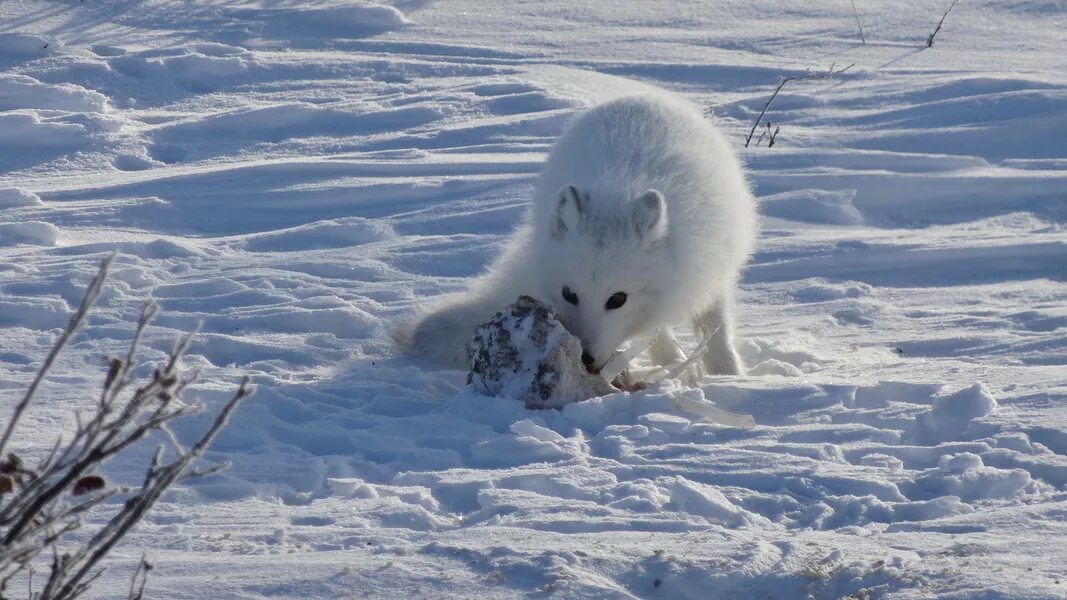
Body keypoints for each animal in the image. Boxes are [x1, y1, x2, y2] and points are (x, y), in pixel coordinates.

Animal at [405, 91, 759, 373]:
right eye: (568, 294)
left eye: (617, 299)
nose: (585, 359)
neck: (618, 192)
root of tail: (640, 95)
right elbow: (656, 332)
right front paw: (673, 362)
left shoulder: (711, 270)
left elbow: (715, 323)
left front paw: (727, 372)